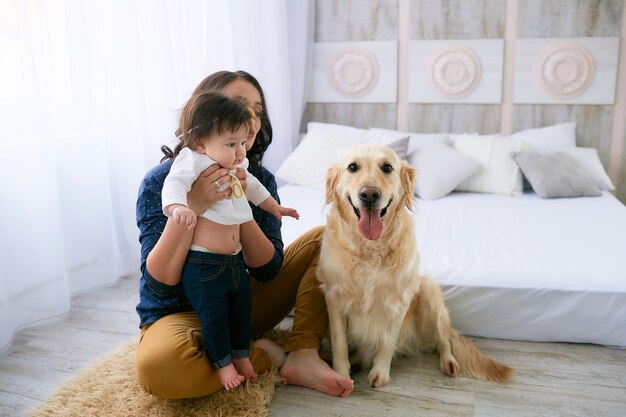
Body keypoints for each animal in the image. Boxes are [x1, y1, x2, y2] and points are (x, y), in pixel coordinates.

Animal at [316, 144, 512, 386]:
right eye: (352, 167)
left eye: (387, 167)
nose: (369, 194)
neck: (370, 249)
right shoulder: (334, 298)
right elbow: (339, 344)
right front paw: (341, 375)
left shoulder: (400, 300)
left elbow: (387, 342)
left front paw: (380, 372)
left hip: (429, 294)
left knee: (443, 340)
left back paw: (448, 362)